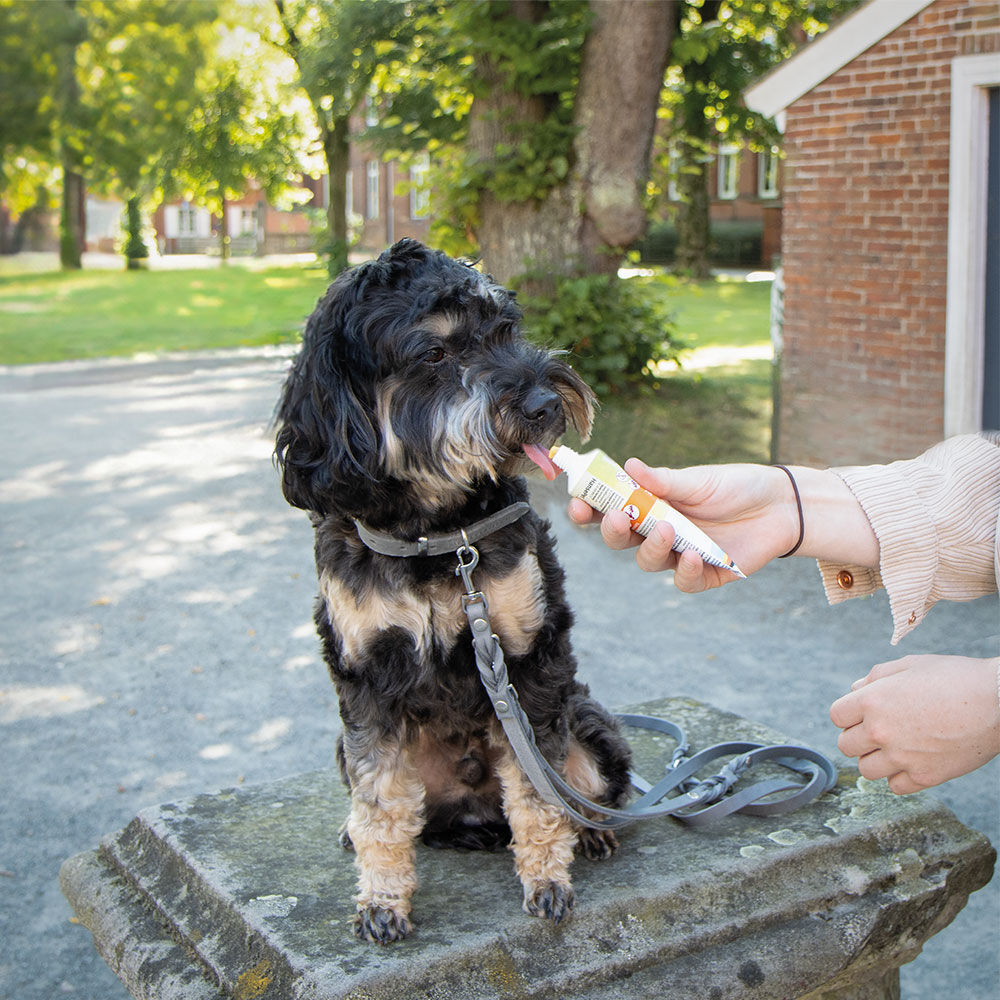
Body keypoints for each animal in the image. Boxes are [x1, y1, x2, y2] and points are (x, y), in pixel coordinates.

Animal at [278, 238, 628, 940]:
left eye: (507, 330)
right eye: (435, 354)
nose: (546, 405)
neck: (437, 537)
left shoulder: (529, 660)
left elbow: (537, 789)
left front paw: (547, 878)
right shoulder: (366, 679)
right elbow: (381, 804)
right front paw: (383, 898)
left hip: (588, 719)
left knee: (581, 787)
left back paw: (592, 831)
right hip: (344, 747)